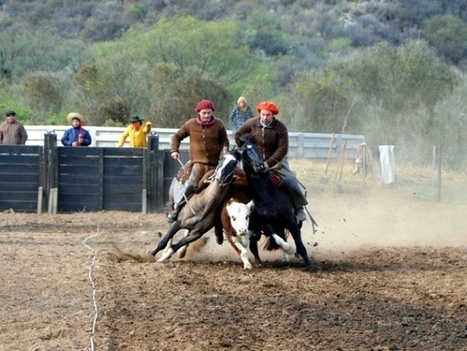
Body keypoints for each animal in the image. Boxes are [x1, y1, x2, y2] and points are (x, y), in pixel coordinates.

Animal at [239, 138, 312, 266]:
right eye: (244, 154)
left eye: (257, 149)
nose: (260, 166)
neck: (268, 197)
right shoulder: (265, 224)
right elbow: (278, 239)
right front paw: (289, 249)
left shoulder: (290, 220)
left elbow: (299, 243)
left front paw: (308, 264)